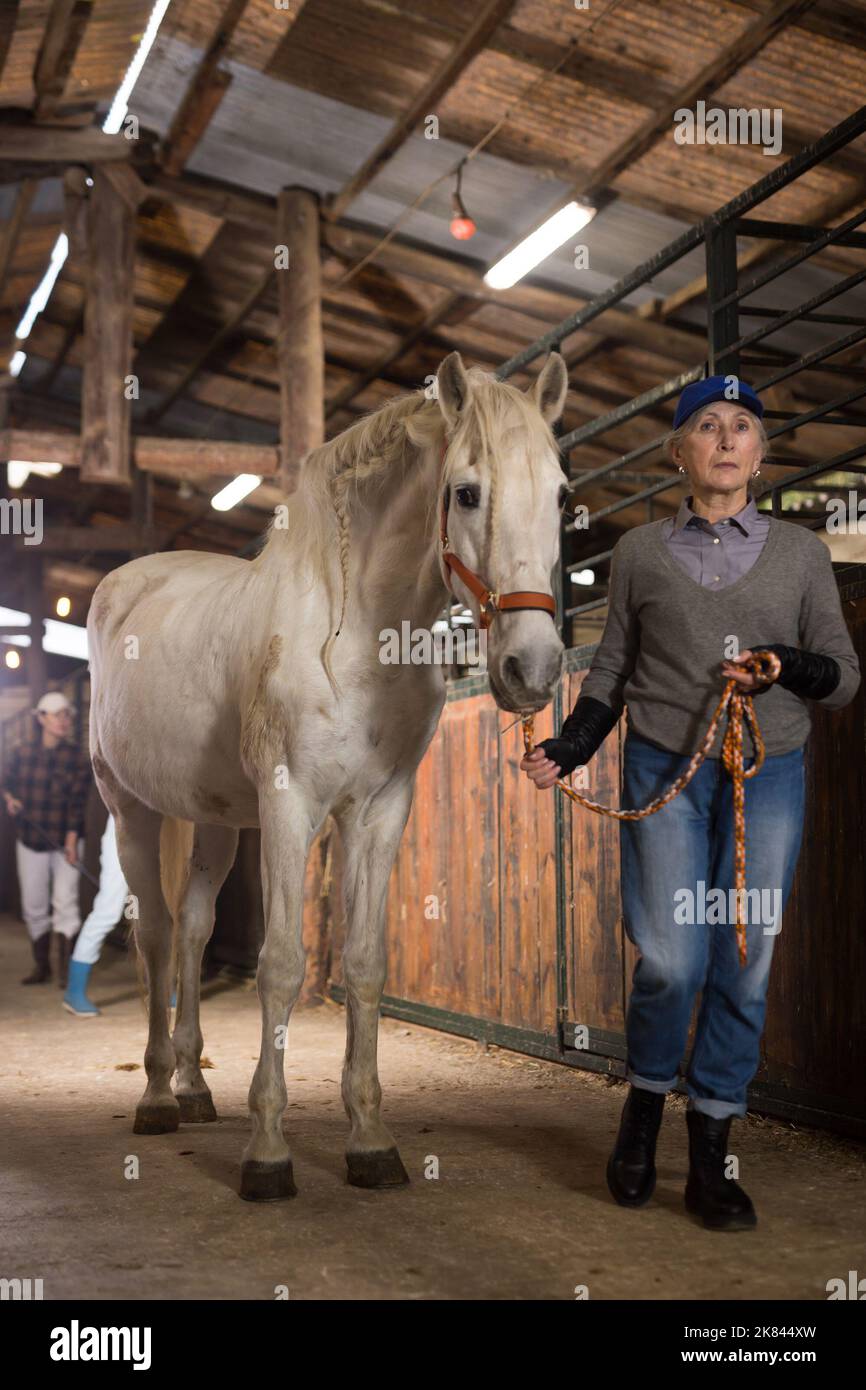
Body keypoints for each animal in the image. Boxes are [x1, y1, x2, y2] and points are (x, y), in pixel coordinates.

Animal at [88, 347, 569, 1195]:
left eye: (561, 494)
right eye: (466, 492)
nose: (533, 669)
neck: (351, 631)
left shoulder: (378, 810)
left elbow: (366, 965)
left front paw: (370, 1140)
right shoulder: (291, 806)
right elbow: (281, 964)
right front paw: (268, 1153)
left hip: (216, 821)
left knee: (193, 929)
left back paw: (194, 1085)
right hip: (131, 810)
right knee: (155, 935)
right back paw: (156, 1097)